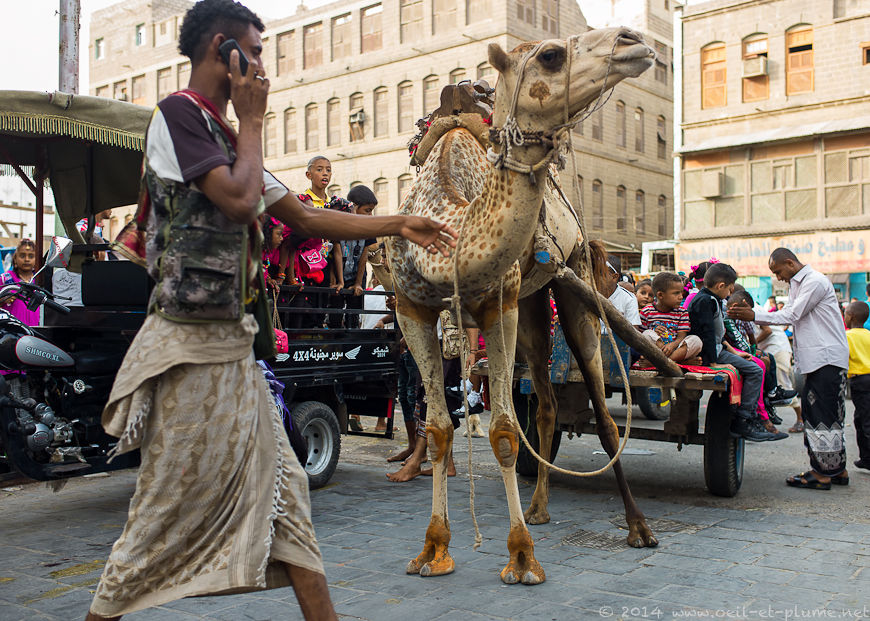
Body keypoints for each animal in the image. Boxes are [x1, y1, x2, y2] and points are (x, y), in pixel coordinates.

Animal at [384, 29, 664, 584]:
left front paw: (521, 558)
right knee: (548, 403)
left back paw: (639, 528)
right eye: (551, 55)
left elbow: (504, 432)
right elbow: (438, 427)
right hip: (534, 305)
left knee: (604, 416)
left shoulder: (500, 303)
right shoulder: (412, 310)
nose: (634, 41)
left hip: (569, 284)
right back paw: (538, 508)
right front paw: (433, 550)